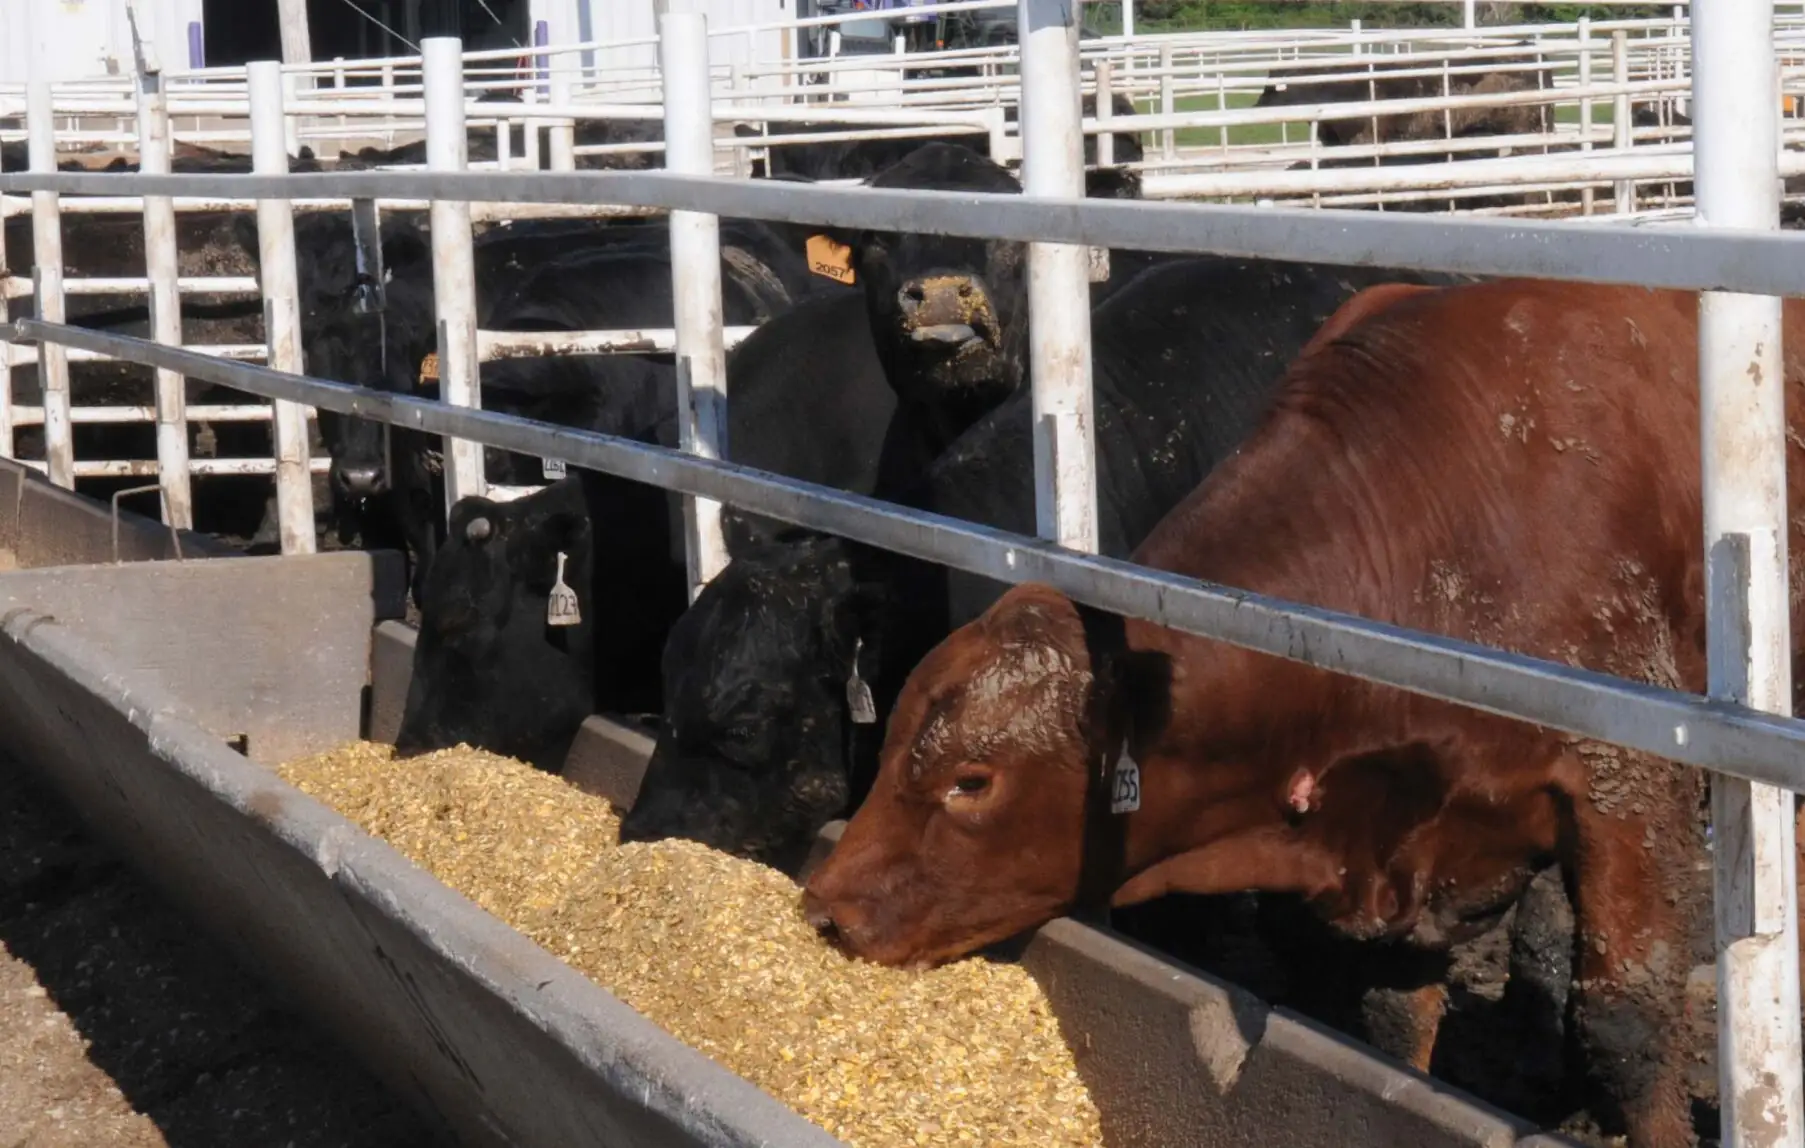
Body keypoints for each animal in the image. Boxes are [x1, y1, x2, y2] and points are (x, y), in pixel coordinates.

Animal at [801, 279, 1805, 1148]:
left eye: (972, 781)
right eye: (888, 739)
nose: (823, 908)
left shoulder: (1628, 788)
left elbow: (1625, 1023)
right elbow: (1392, 1021)